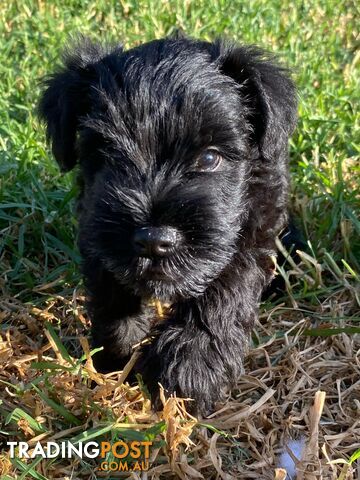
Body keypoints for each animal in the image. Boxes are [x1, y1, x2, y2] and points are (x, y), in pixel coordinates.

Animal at [40, 35, 298, 414]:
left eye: (210, 157)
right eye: (107, 155)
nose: (154, 239)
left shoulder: (255, 223)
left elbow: (228, 285)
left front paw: (191, 367)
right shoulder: (95, 228)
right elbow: (110, 294)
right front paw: (115, 357)